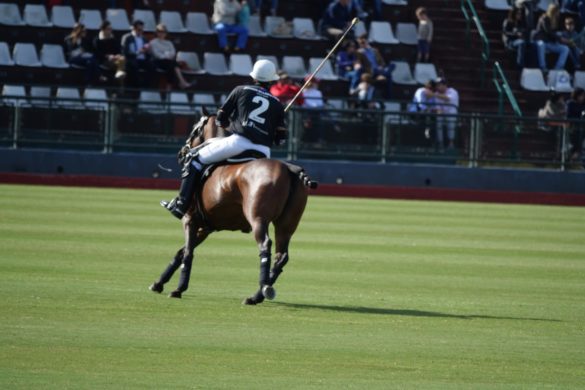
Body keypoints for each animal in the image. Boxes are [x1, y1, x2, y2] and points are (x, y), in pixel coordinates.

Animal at [151, 110, 314, 304]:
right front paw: (159, 283)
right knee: (281, 256)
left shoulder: (190, 219)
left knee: (265, 246)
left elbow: (188, 252)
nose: (181, 153)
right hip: (286, 225)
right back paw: (258, 294)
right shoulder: (206, 227)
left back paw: (260, 291)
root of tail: (290, 169)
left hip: (258, 218)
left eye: (195, 129)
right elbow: (181, 252)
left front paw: (178, 289)